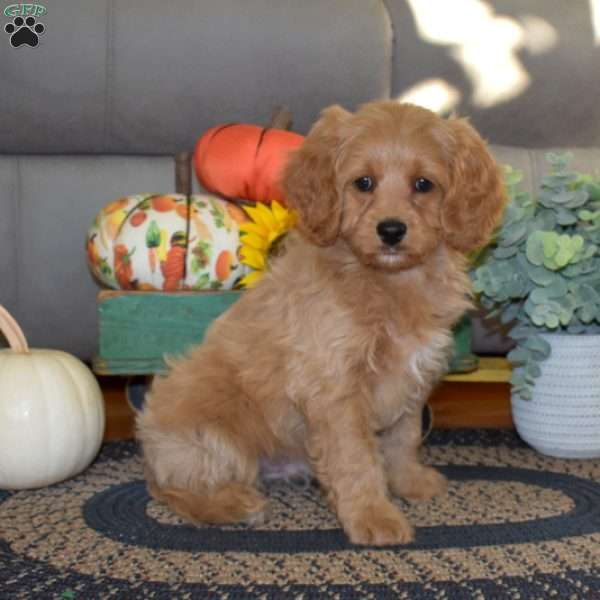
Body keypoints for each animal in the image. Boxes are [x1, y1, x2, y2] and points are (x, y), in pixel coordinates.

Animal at [137, 101, 506, 548]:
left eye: (423, 184)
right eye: (363, 182)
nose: (391, 230)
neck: (389, 283)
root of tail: (151, 448)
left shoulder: (412, 376)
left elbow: (404, 438)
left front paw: (410, 483)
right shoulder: (335, 387)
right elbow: (356, 459)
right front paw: (374, 517)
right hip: (211, 437)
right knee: (174, 489)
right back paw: (235, 504)